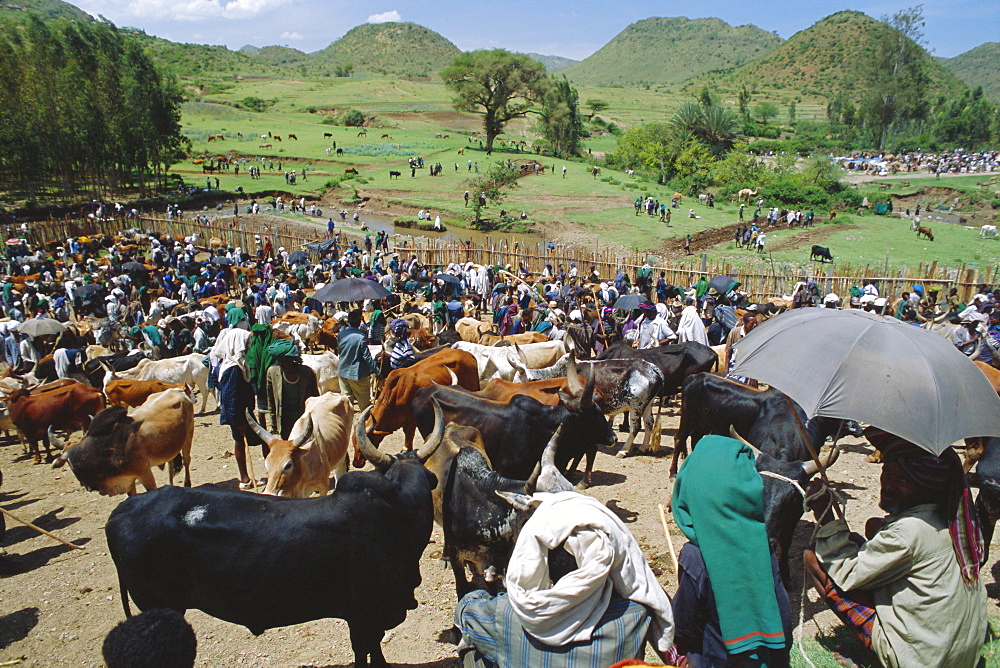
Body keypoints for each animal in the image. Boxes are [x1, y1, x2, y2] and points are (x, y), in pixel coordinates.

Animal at [52, 386, 197, 496]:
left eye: (70, 463)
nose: (87, 487)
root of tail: (177, 390)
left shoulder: (144, 473)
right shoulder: (127, 482)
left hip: (188, 436)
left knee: (186, 460)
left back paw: (187, 483)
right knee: (171, 464)